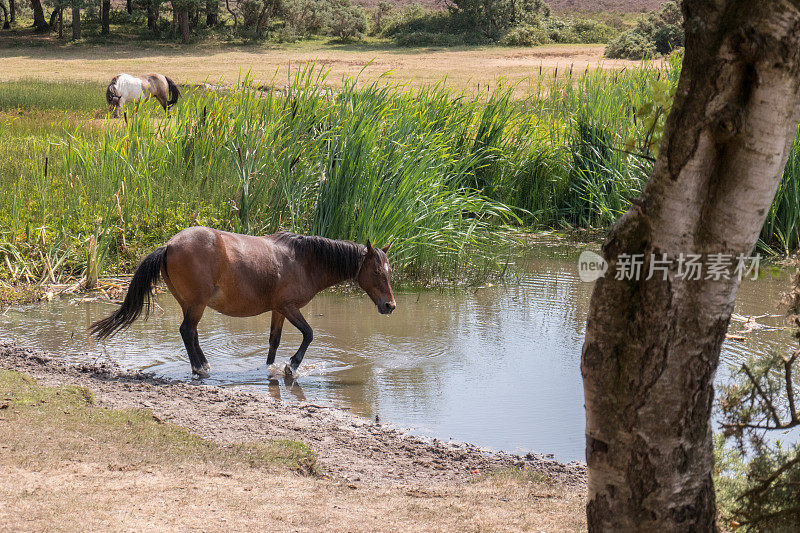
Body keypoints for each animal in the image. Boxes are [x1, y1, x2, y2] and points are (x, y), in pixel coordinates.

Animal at [89, 227, 396, 376]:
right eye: (377, 272)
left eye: (389, 270)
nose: (390, 306)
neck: (304, 260)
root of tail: (169, 245)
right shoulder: (290, 308)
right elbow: (309, 334)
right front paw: (292, 366)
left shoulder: (278, 310)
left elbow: (274, 342)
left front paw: (269, 368)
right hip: (197, 304)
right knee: (187, 331)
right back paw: (200, 368)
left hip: (190, 304)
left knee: (192, 333)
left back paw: (203, 364)